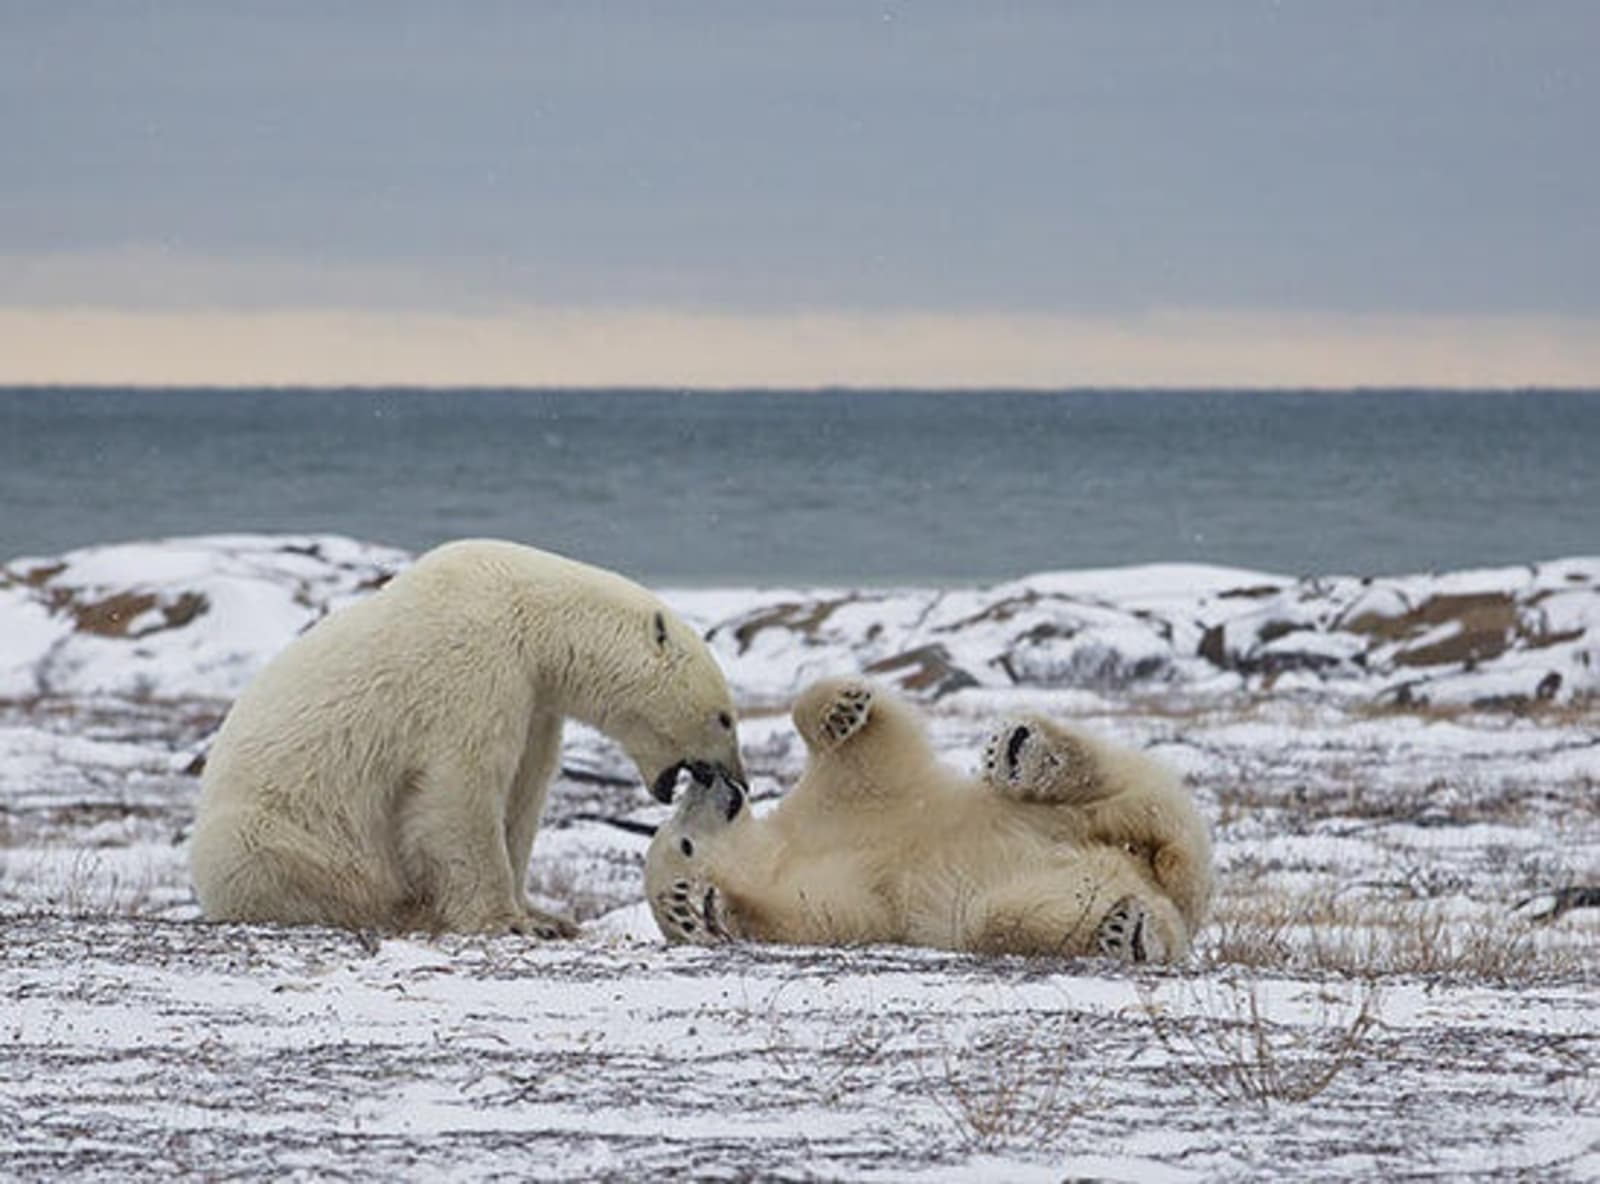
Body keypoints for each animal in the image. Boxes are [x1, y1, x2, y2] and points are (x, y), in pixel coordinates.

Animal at [191, 539, 745, 936]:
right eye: (724, 718)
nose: (738, 784)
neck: (533, 614)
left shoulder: (536, 701)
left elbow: (523, 794)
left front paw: (546, 915)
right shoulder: (475, 667)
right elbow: (460, 790)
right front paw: (510, 921)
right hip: (278, 831)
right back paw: (406, 910)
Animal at [645, 677, 1212, 963]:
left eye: (674, 830)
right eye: (684, 844)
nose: (704, 777)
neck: (781, 852)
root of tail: (1155, 879)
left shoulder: (838, 805)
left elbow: (869, 752)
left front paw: (841, 708)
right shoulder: (827, 896)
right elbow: (834, 916)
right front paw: (707, 907)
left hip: (1086, 815)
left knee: (1121, 792)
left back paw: (1020, 752)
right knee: (999, 914)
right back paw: (1128, 931)